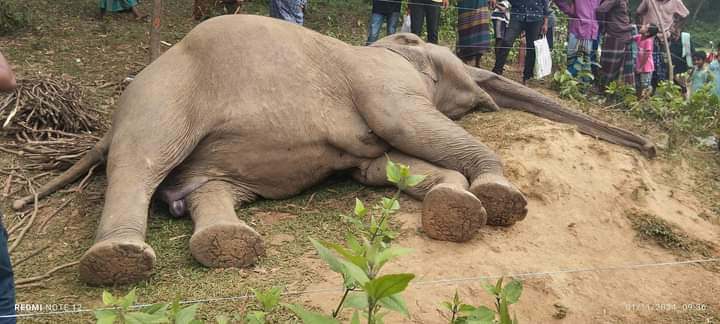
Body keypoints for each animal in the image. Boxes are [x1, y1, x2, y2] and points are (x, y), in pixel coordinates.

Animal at [12, 14, 652, 286]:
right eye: (460, 68)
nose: (648, 146)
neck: (384, 45)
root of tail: (106, 125)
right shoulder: (382, 83)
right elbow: (408, 127)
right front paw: (497, 197)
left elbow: (385, 165)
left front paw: (451, 204)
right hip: (162, 99)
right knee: (141, 163)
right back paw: (118, 263)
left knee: (207, 189)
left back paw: (229, 246)